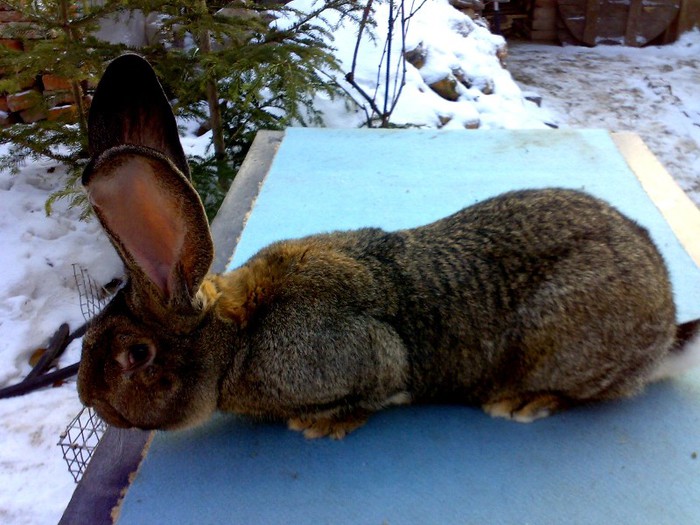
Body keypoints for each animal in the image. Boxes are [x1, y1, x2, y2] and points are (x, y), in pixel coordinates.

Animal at [76, 54, 700, 438]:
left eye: (136, 356)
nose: (86, 399)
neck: (236, 338)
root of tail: (666, 322)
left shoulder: (366, 353)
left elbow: (381, 385)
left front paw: (321, 424)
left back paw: (524, 403)